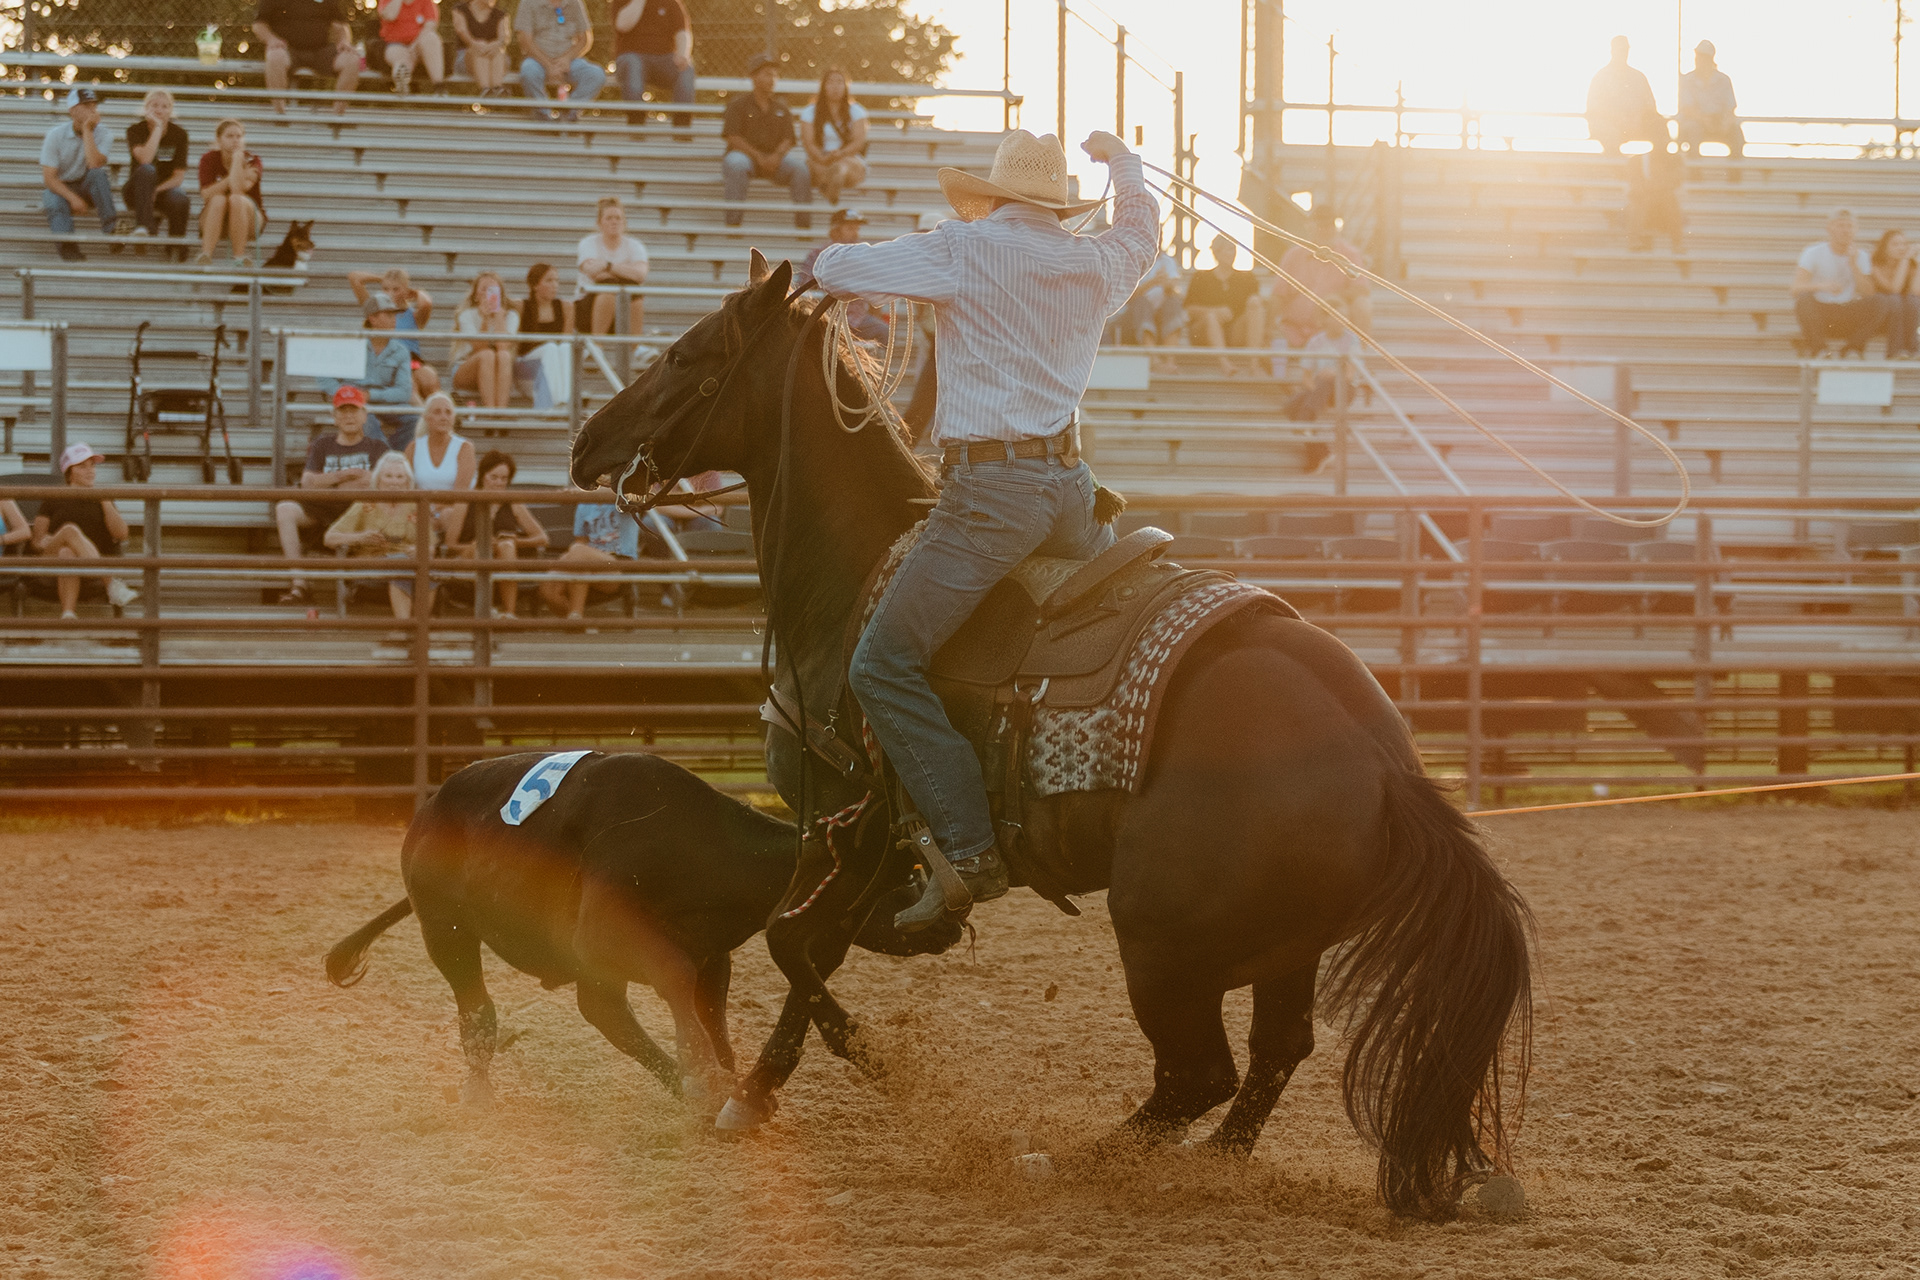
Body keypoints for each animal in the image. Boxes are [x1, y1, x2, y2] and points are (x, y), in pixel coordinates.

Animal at [325, 750, 962, 1109]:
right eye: (899, 874)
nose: (949, 927)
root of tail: (430, 810)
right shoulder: (608, 935)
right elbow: (673, 979)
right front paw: (703, 1074)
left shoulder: (712, 953)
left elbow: (710, 1011)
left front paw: (723, 1077)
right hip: (446, 928)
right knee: (480, 1013)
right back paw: (479, 1096)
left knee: (602, 1009)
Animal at [567, 252, 1535, 1219]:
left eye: (684, 355)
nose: (586, 444)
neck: (853, 579)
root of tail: (1385, 763)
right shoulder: (853, 839)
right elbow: (803, 946)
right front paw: (756, 1091)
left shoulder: (850, 820)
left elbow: (792, 944)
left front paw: (867, 1075)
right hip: (1282, 945)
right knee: (1273, 1054)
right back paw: (1209, 1162)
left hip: (1159, 939)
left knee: (1198, 1074)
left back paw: (1065, 1162)